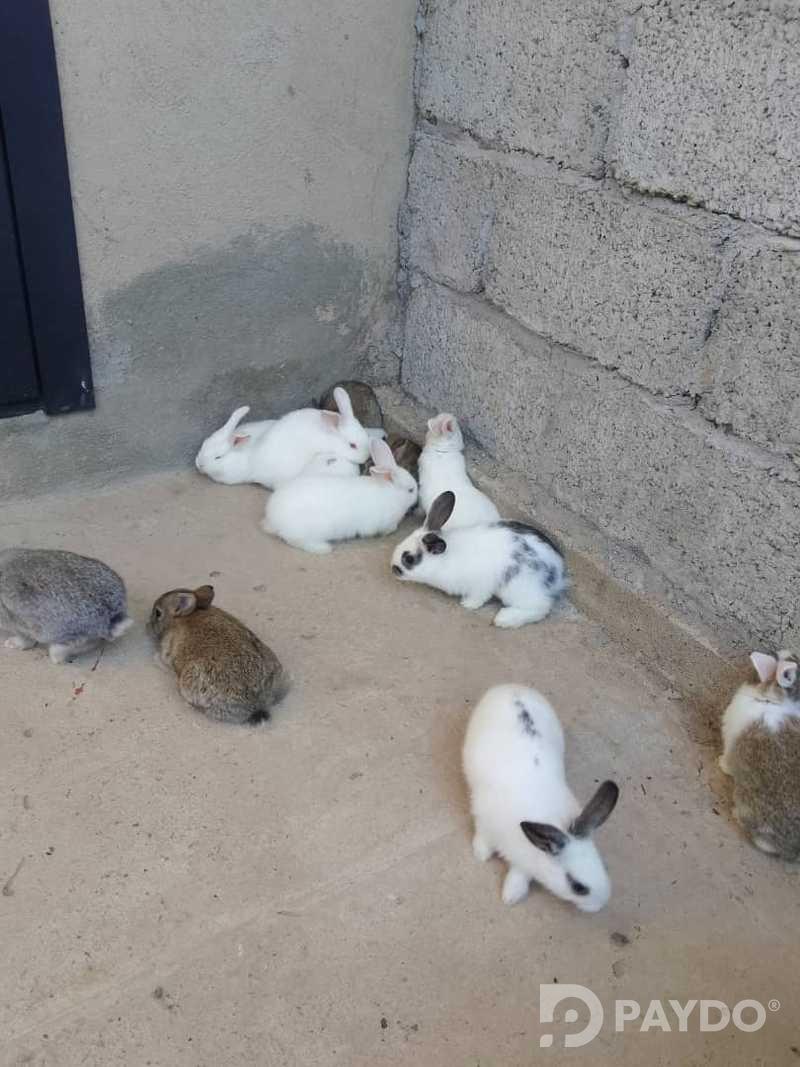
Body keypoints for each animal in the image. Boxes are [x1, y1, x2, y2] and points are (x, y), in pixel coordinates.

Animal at [262, 438, 418, 554]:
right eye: (410, 490)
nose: (417, 497)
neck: (391, 493)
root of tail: (273, 518)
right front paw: (390, 531)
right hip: (308, 531)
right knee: (295, 540)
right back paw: (323, 548)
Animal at [391, 492, 567, 628]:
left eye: (408, 559)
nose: (393, 568)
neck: (443, 560)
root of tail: (560, 574)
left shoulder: (480, 586)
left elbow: (478, 598)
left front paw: (467, 604)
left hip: (520, 588)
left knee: (540, 608)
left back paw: (504, 619)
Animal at [463, 683, 619, 912]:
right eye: (578, 887)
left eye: (603, 867)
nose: (599, 906)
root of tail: (511, 687)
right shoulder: (484, 817)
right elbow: (484, 836)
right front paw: (481, 855)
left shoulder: (526, 862)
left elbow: (520, 874)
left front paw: (511, 895)